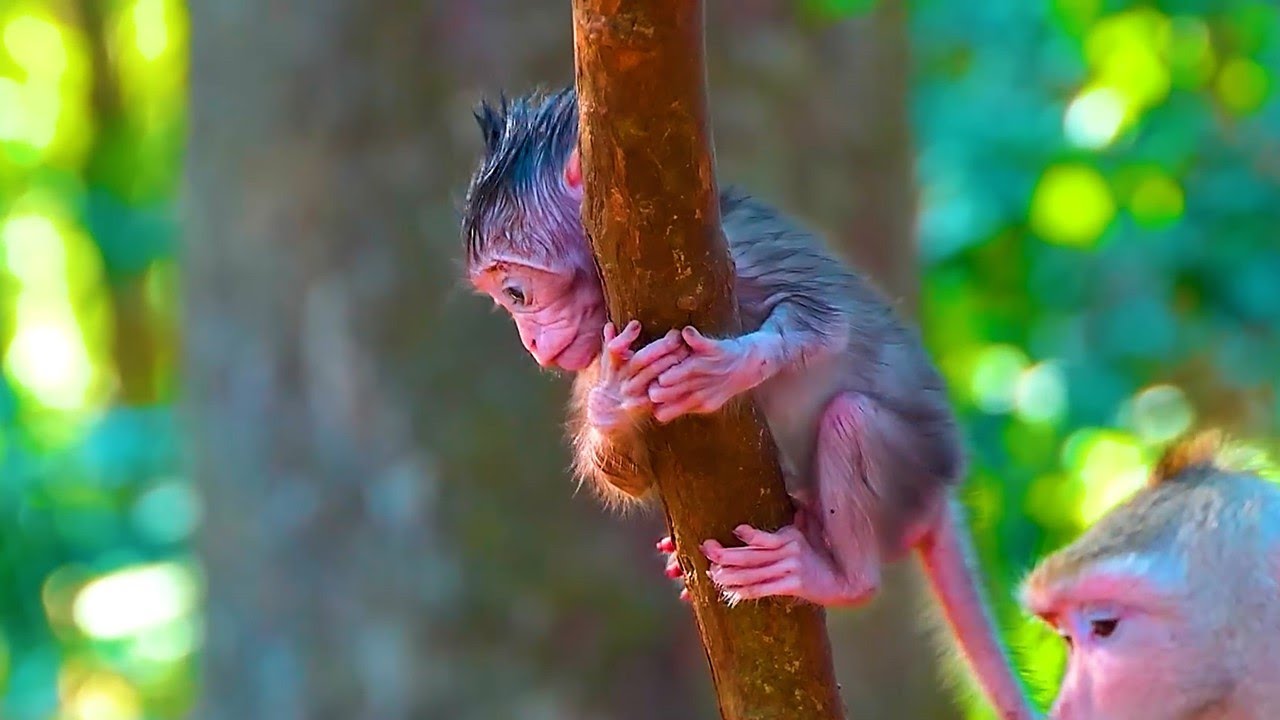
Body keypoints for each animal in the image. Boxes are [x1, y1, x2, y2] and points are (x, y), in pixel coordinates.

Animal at [461, 86, 1036, 720]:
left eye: (517, 292)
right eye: (505, 303)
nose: (532, 343)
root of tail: (941, 488)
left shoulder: (738, 249)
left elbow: (827, 323)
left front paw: (736, 365)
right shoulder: (601, 345)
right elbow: (629, 472)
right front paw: (614, 400)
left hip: (912, 466)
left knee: (851, 418)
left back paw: (839, 578)